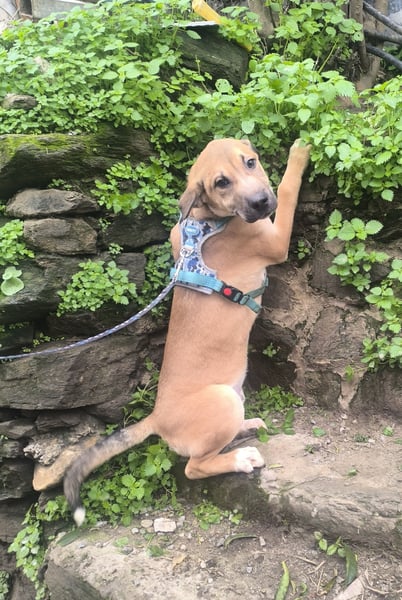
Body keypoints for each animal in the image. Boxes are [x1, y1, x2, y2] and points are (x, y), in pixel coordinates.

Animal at [64, 138, 310, 526]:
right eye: (221, 183)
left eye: (250, 162)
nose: (260, 203)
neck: (209, 221)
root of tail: (156, 418)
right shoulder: (275, 241)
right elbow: (287, 190)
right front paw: (298, 155)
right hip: (222, 400)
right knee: (195, 467)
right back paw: (241, 458)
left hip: (233, 395)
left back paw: (248, 425)